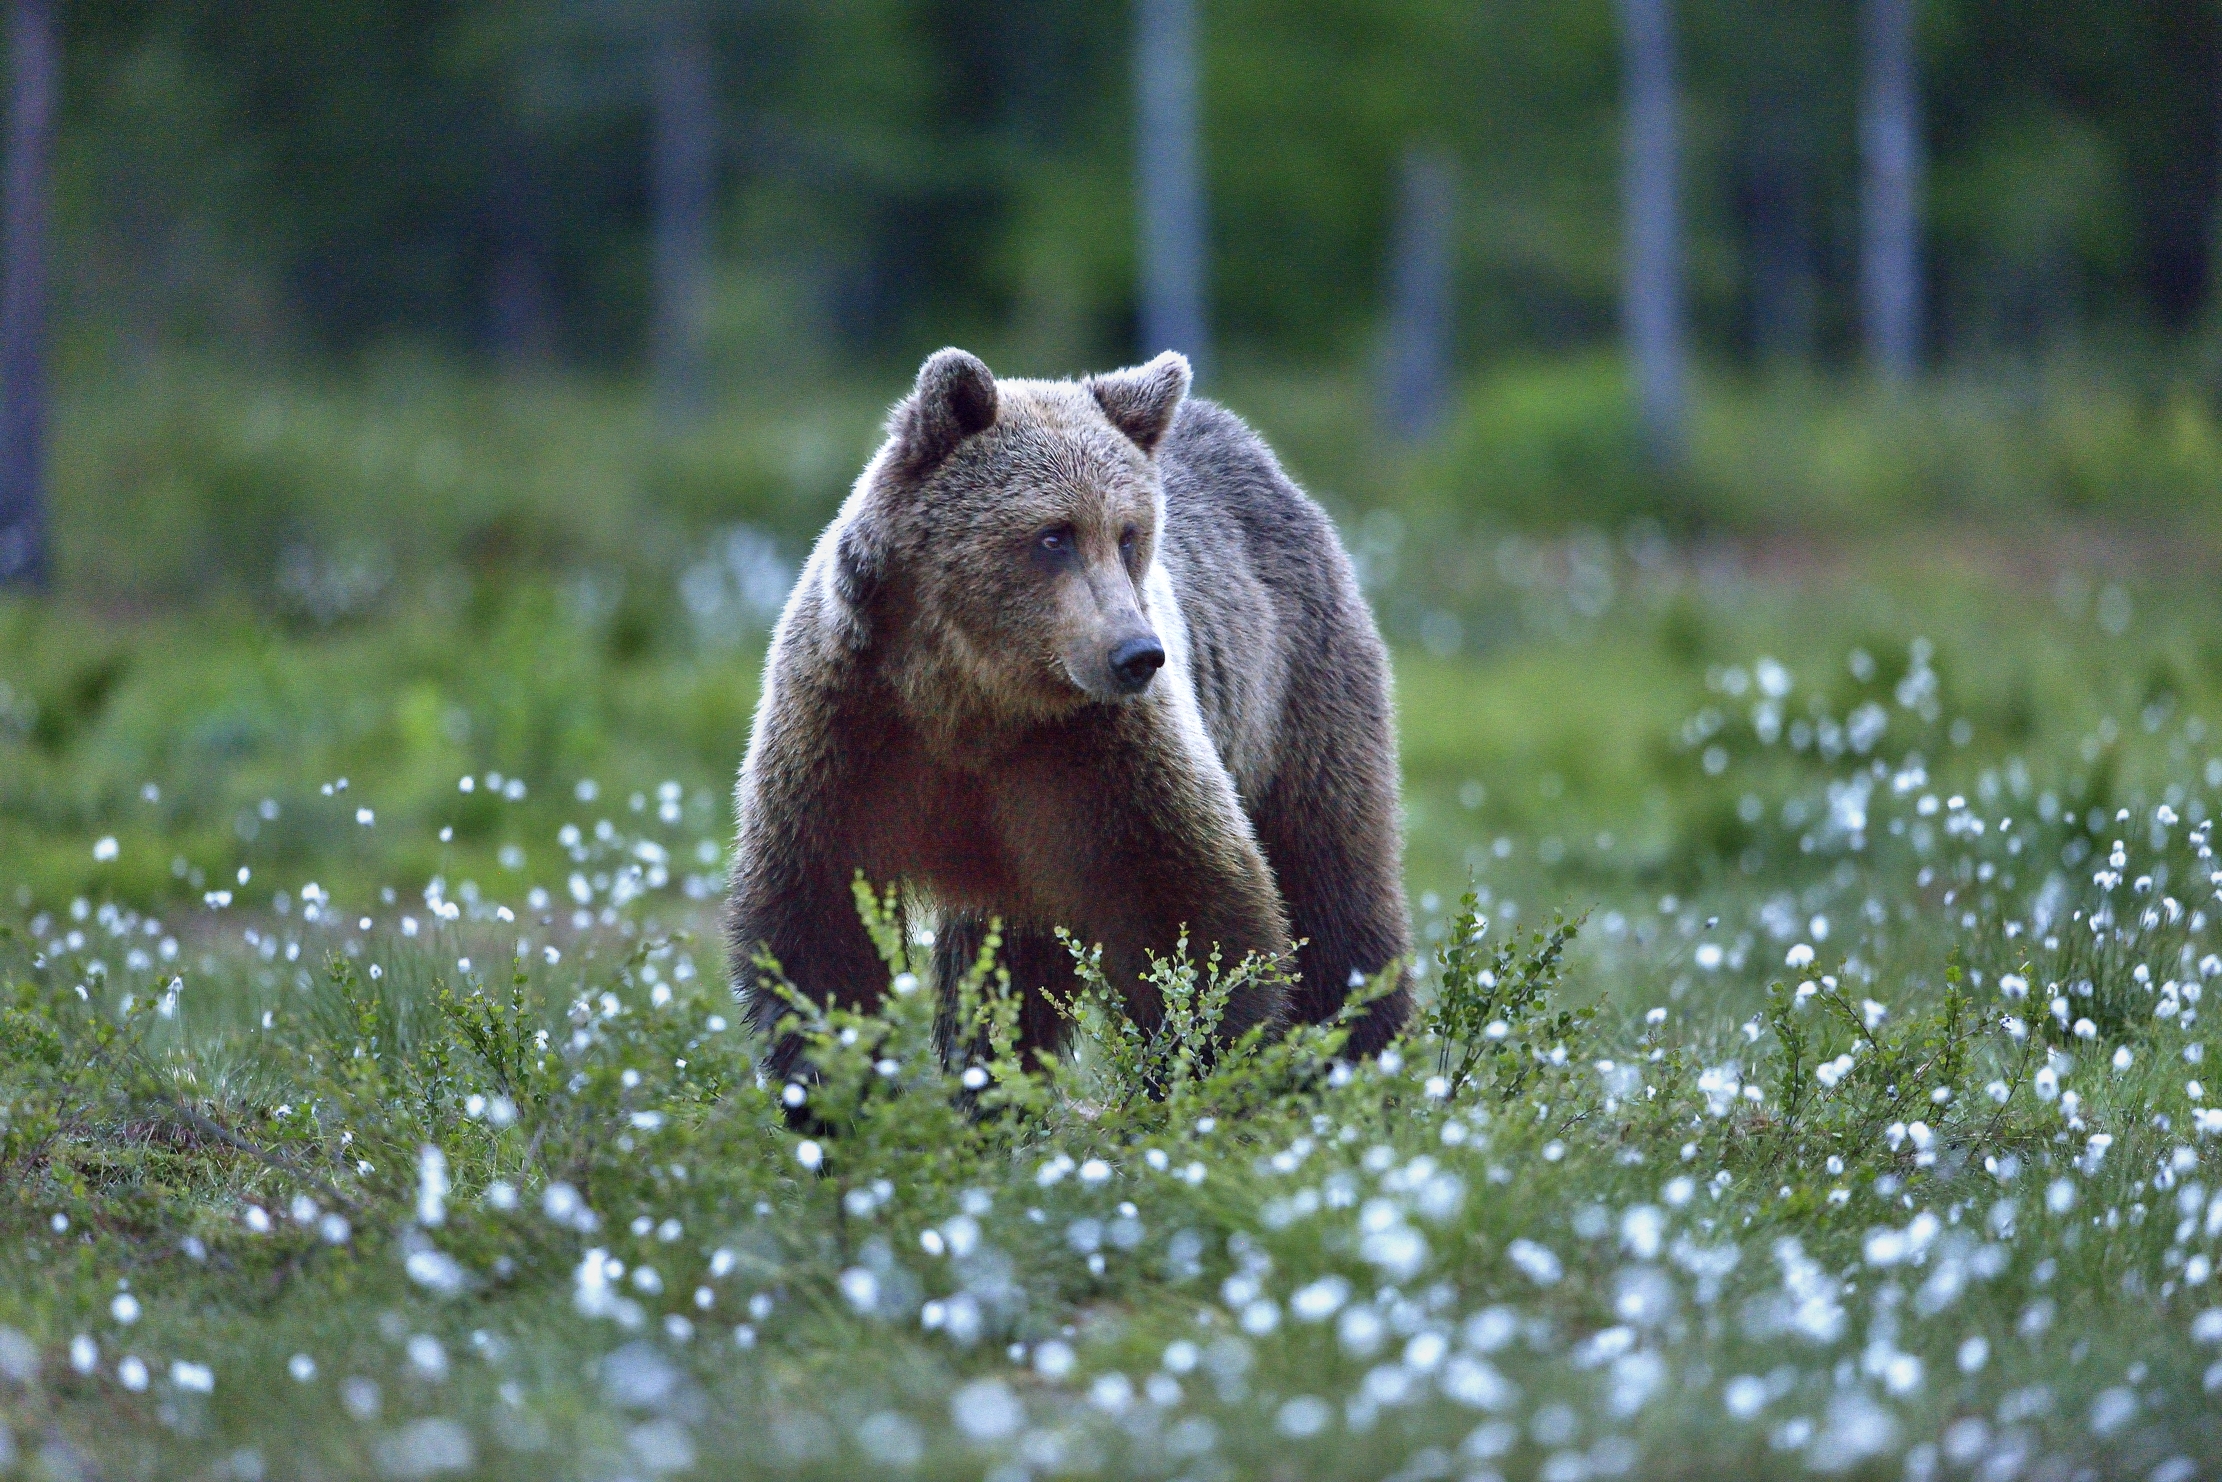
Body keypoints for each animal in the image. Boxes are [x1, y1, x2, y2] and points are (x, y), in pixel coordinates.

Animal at [726, 347, 1411, 1083]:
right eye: (1055, 535)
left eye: (1130, 534)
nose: (1138, 654)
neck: (972, 697)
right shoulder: (848, 732)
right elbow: (819, 933)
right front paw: (833, 1081)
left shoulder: (1104, 756)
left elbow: (1193, 911)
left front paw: (1207, 1061)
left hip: (1298, 696)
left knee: (1334, 882)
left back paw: (1365, 1053)